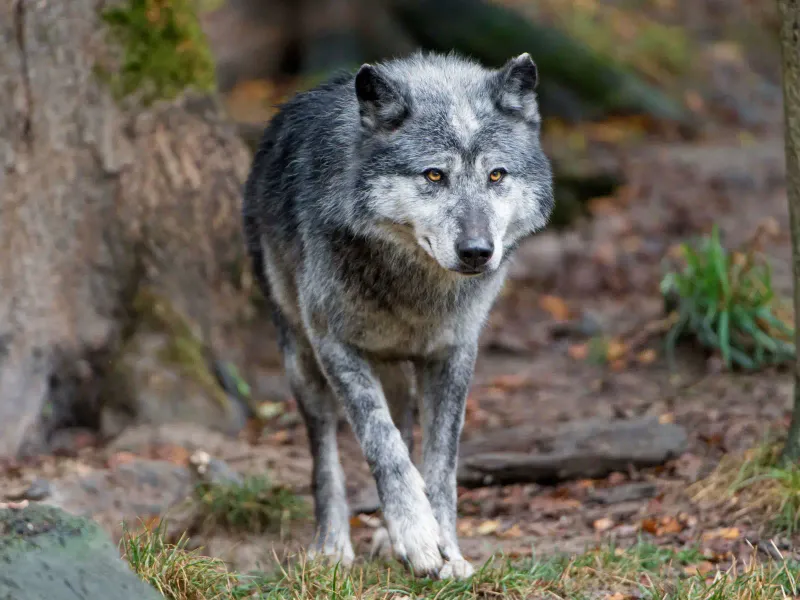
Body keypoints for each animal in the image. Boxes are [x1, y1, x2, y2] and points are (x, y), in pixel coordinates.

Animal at [244, 52, 552, 580]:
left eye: (496, 175)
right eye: (434, 176)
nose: (477, 251)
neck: (414, 286)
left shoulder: (454, 354)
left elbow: (440, 468)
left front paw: (447, 550)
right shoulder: (335, 346)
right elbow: (382, 445)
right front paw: (417, 536)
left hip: (393, 369)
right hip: (302, 361)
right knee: (326, 456)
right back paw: (332, 546)